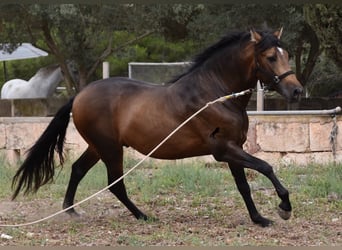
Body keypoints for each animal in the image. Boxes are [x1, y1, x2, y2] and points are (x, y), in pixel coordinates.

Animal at [12, 28, 304, 228]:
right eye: (270, 57)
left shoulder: (235, 149)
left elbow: (243, 185)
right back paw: (143, 215)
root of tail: (80, 95)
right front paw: (284, 207)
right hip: (110, 149)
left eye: (287, 55)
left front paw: (259, 218)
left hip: (98, 147)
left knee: (78, 170)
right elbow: (266, 167)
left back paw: (71, 211)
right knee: (115, 184)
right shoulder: (224, 150)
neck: (216, 94)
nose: (297, 91)